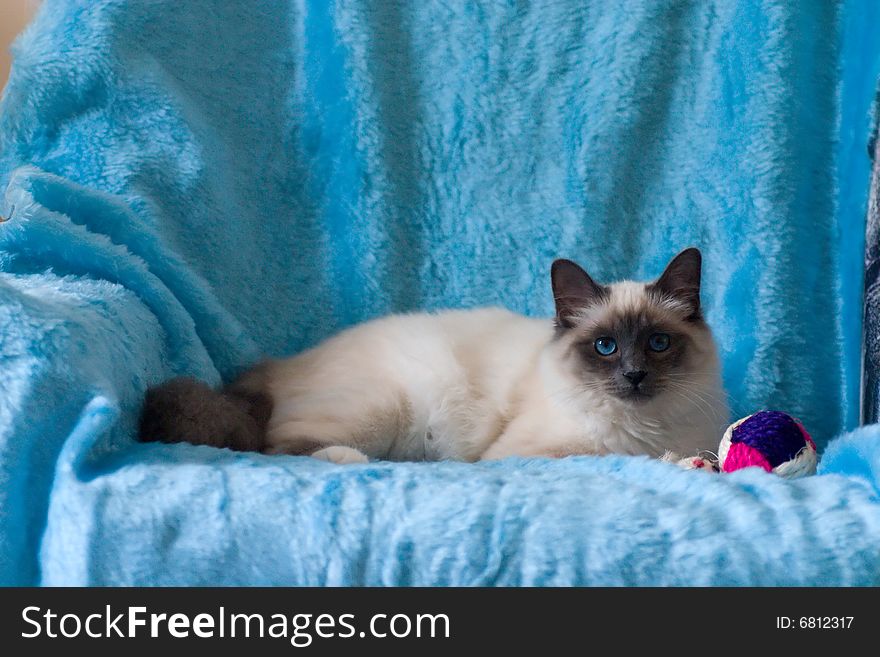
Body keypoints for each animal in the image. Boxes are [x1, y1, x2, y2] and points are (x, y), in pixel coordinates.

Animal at [139, 246, 728, 462]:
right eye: (605, 347)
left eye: (657, 343)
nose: (633, 375)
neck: (648, 428)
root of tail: (279, 363)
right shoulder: (530, 452)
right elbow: (608, 455)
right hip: (382, 409)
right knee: (278, 447)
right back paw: (355, 462)